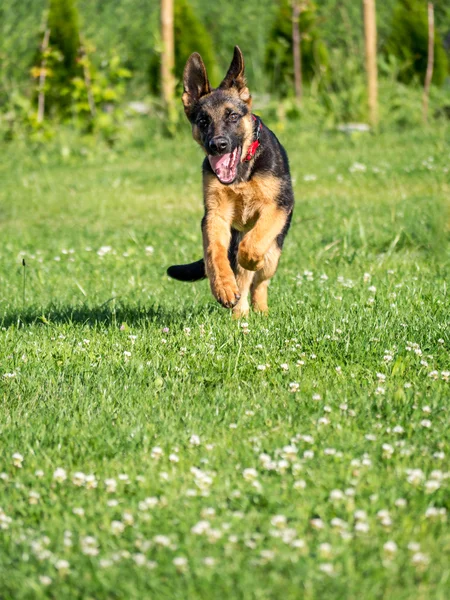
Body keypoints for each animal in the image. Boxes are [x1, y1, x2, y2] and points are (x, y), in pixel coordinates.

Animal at [167, 47, 294, 318]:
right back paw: (240, 312)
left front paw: (251, 258)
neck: (241, 175)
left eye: (233, 116)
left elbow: (254, 243)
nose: (218, 145)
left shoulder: (277, 207)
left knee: (259, 280)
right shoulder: (215, 215)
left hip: (274, 253)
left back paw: (260, 310)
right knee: (243, 280)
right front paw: (223, 288)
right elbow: (214, 253)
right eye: (203, 121)